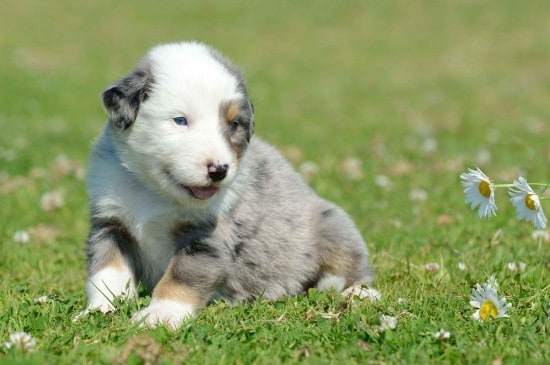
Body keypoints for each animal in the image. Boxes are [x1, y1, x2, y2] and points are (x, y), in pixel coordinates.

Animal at [83, 41, 376, 328]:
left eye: (234, 123)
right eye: (180, 120)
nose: (219, 170)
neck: (153, 191)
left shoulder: (206, 238)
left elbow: (180, 277)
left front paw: (160, 314)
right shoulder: (112, 226)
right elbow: (107, 273)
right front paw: (99, 310)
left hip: (334, 224)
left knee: (355, 269)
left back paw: (357, 292)